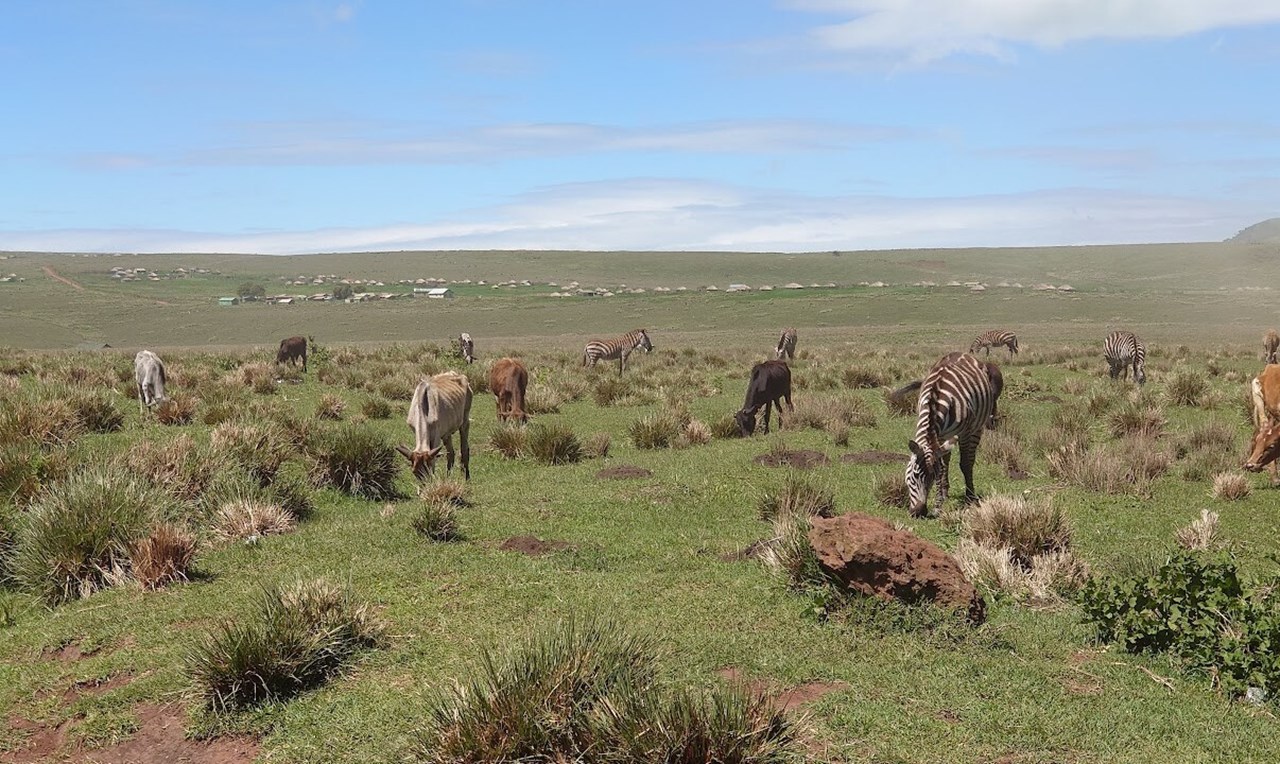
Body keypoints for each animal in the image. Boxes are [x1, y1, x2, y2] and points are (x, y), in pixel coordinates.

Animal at [896, 353, 1003, 519]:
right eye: (914, 475)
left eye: (931, 479)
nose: (919, 513)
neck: (935, 402)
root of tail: (962, 354)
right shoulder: (939, 438)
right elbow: (942, 467)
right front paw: (939, 500)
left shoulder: (964, 433)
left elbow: (964, 464)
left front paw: (967, 498)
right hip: (947, 435)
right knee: (946, 460)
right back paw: (945, 492)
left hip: (976, 427)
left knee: (969, 460)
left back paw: (970, 494)